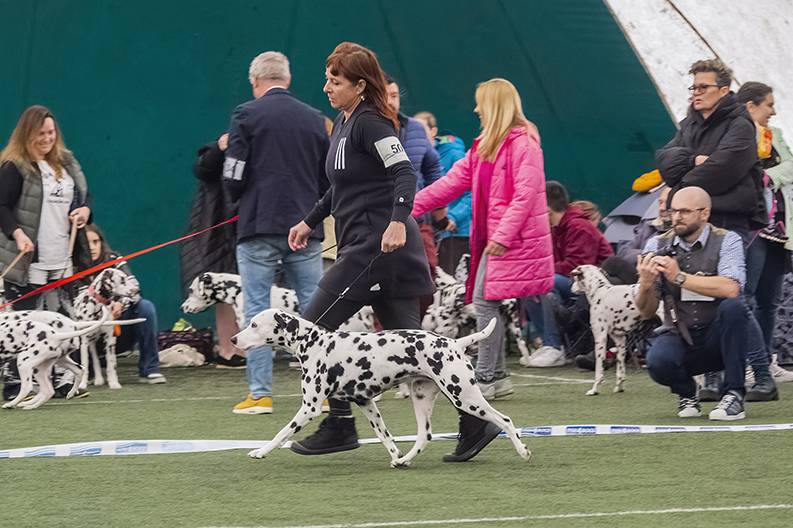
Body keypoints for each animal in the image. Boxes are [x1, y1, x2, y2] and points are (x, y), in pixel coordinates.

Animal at [235, 308, 532, 468]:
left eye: (254, 324)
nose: (233, 339)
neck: (315, 343)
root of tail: (455, 343)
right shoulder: (366, 403)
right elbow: (386, 438)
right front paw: (396, 456)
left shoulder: (309, 408)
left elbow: (281, 433)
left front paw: (260, 451)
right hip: (423, 399)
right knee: (424, 437)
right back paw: (404, 461)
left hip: (465, 397)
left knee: (505, 420)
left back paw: (522, 451)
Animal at [568, 266, 664, 394]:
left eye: (574, 278)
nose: (571, 288)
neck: (600, 291)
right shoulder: (620, 340)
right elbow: (620, 370)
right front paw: (619, 387)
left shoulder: (600, 338)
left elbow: (599, 369)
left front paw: (594, 389)